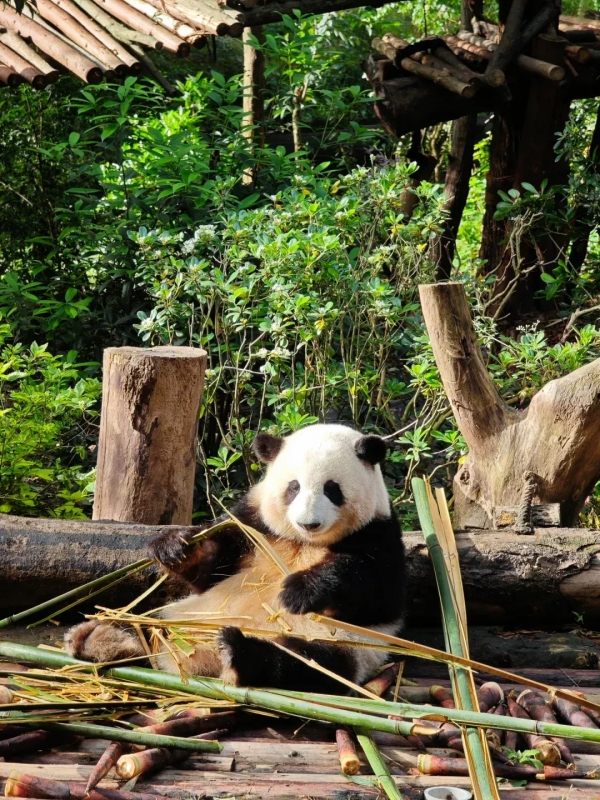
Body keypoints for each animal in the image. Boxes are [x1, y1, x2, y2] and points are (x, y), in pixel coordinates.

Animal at [65, 424, 406, 693]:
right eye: (293, 487)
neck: (303, 543)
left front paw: (299, 591)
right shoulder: (253, 525)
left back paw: (238, 652)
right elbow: (210, 567)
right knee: (148, 623)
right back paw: (102, 636)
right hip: (181, 614)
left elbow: (373, 589)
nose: (309, 523)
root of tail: (203, 660)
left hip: (345, 646)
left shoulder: (379, 534)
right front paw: (173, 547)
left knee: (306, 663)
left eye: (332, 489)